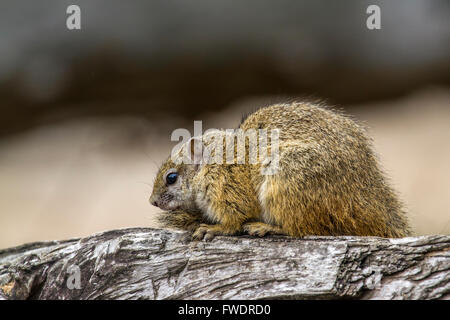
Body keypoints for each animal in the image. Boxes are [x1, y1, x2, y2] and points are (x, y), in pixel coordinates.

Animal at [149, 102, 410, 240]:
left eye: (171, 178)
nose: (152, 201)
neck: (213, 164)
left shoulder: (229, 190)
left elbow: (233, 222)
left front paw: (212, 228)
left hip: (286, 182)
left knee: (301, 229)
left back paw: (264, 227)